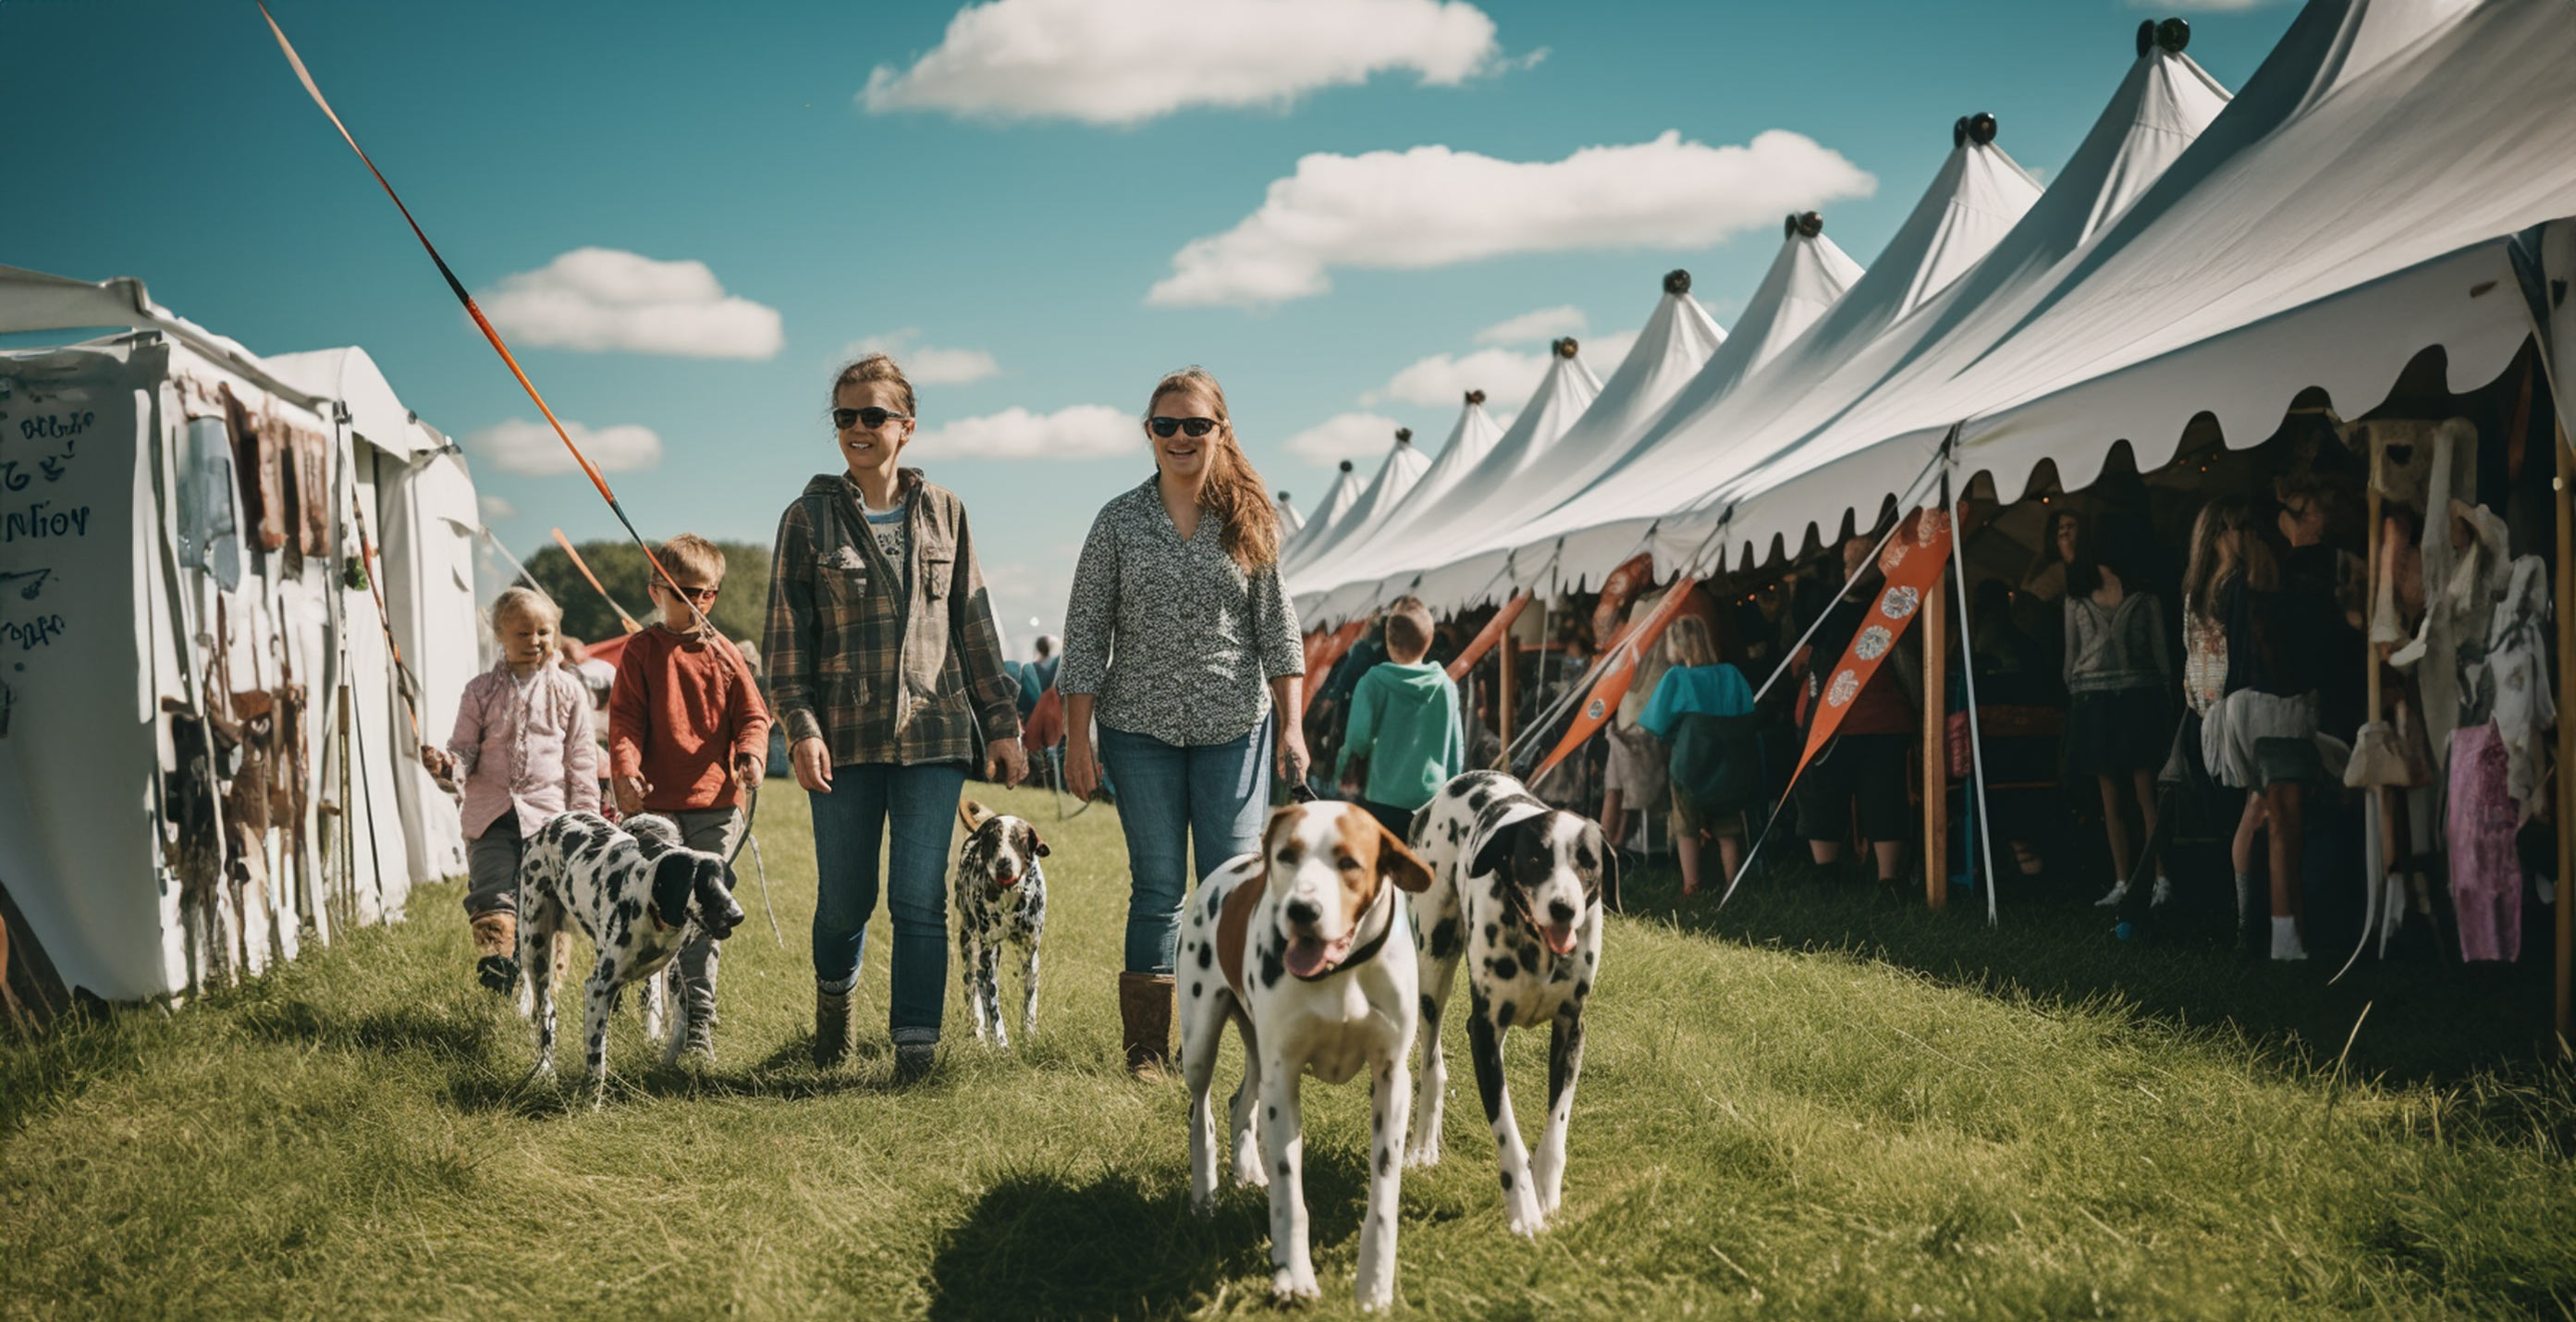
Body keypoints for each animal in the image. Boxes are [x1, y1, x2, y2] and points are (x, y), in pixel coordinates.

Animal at [517, 803, 746, 1103]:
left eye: (726, 882)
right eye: (704, 883)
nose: (737, 915)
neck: (650, 910)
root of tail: (556, 819)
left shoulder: (673, 980)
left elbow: (678, 1030)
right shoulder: (599, 988)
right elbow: (597, 1061)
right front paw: (591, 1104)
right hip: (535, 947)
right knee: (546, 1011)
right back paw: (546, 1068)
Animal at [958, 799, 1046, 1046]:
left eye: (1019, 839)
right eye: (993, 838)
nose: (1004, 863)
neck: (1010, 899)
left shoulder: (1030, 956)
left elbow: (1029, 1004)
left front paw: (1029, 1036)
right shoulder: (987, 957)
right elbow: (994, 1009)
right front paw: (1001, 1042)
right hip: (970, 945)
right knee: (974, 989)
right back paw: (980, 1035)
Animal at [1179, 793, 1442, 1309]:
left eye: (1349, 863)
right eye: (1287, 855)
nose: (1302, 909)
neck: (1341, 973)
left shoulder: (1391, 1079)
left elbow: (1384, 1192)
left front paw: (1375, 1284)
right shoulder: (1285, 1079)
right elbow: (1290, 1194)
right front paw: (1292, 1276)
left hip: (1258, 1052)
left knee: (1241, 1102)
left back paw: (1247, 1171)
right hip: (1200, 1041)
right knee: (1202, 1111)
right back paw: (1204, 1199)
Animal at [1411, 767, 1607, 1231]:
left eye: (1587, 861)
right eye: (1536, 859)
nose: (1563, 907)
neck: (1537, 946)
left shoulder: (1571, 1030)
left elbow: (1556, 1125)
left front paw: (1547, 1196)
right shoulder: (1482, 1031)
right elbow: (1508, 1135)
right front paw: (1524, 1211)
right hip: (1433, 968)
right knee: (1431, 1065)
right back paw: (1423, 1147)